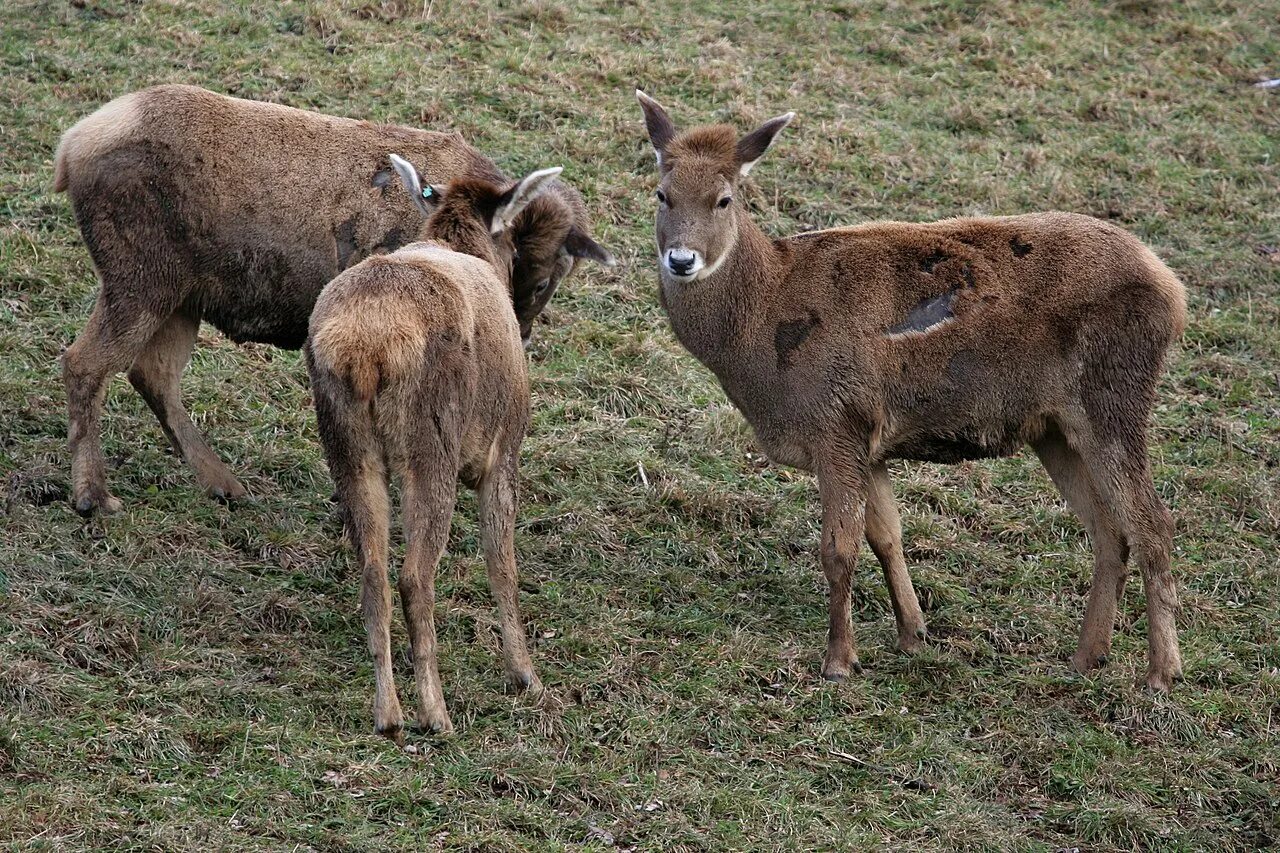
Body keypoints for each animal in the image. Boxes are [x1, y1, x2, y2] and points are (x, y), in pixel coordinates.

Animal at [304, 156, 565, 732]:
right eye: (516, 246)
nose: (529, 326)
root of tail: (366, 350)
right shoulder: (504, 450)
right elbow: (503, 565)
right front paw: (526, 675)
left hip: (347, 448)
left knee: (373, 574)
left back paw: (388, 713)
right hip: (430, 449)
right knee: (413, 578)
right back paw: (435, 711)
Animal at [640, 91, 1187, 691]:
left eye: (724, 199)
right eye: (662, 193)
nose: (682, 260)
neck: (762, 336)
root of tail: (1174, 292)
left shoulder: (836, 421)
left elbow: (839, 549)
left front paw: (839, 661)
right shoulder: (871, 441)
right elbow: (886, 536)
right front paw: (913, 635)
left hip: (1115, 394)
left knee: (1154, 523)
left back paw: (1162, 673)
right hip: (1055, 428)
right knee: (1109, 530)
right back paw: (1087, 657)